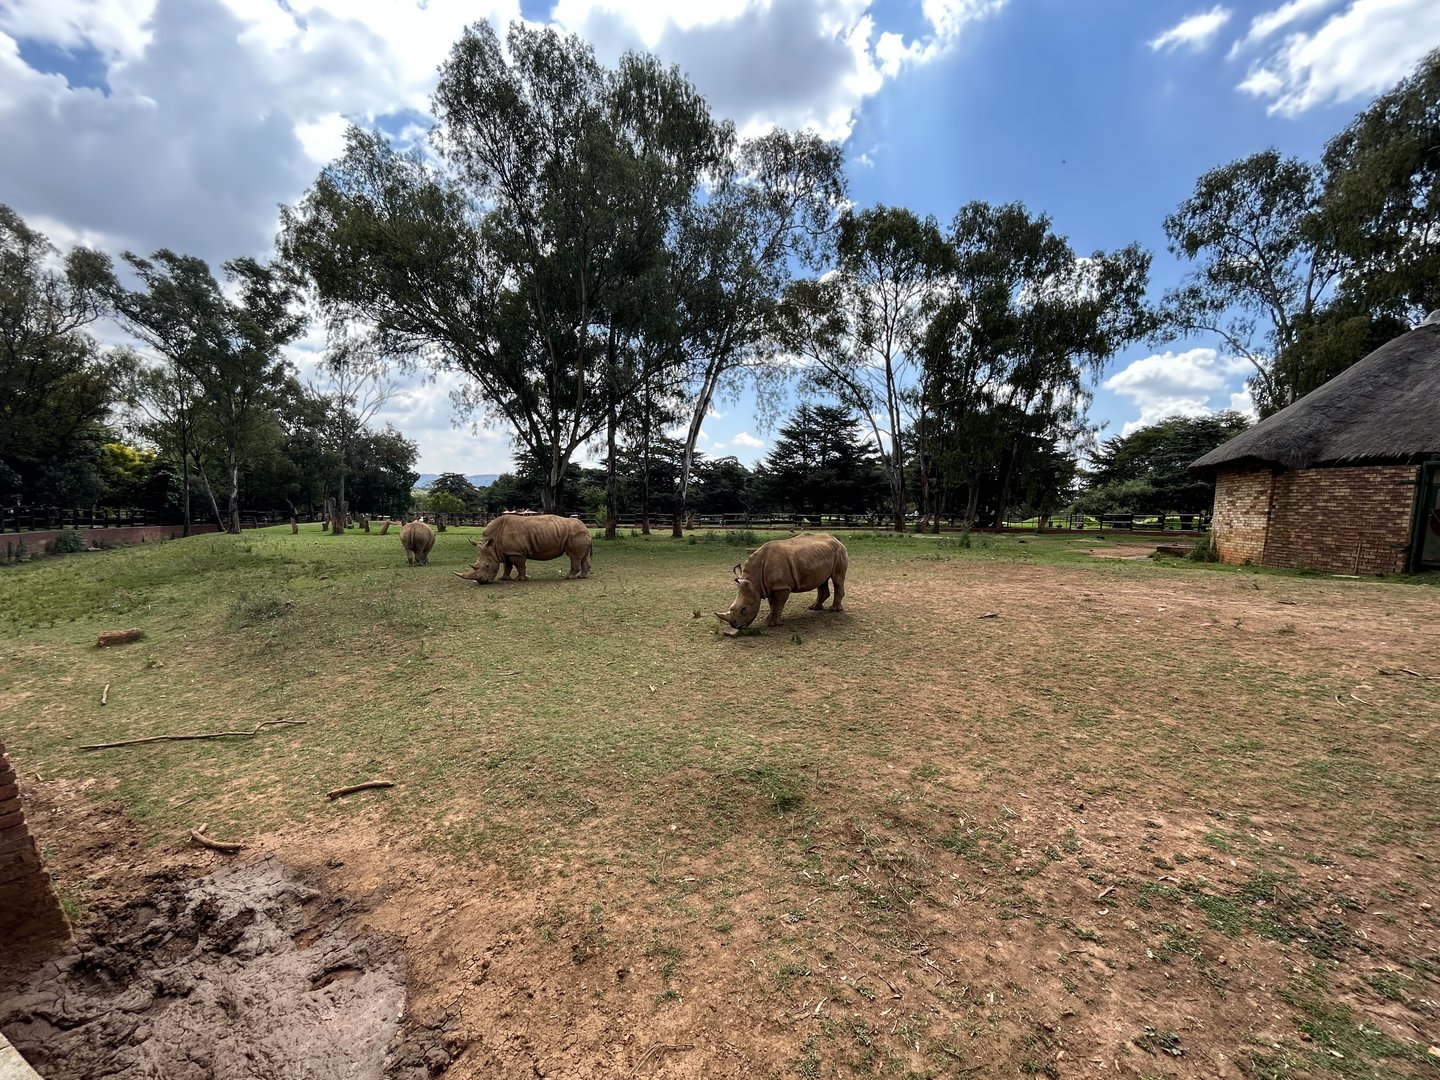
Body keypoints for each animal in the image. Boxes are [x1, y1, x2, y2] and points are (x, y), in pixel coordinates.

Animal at [454, 514, 592, 584]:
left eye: (487, 566)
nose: (482, 582)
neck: (493, 544)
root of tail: (587, 529)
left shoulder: (516, 552)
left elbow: (519, 565)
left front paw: (520, 579)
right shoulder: (507, 551)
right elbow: (507, 565)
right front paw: (504, 579)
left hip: (576, 534)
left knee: (573, 556)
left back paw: (569, 577)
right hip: (580, 533)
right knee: (583, 557)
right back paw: (582, 577)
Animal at [715, 532, 848, 634]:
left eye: (744, 609)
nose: (735, 626)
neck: (754, 581)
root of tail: (836, 539)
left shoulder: (782, 586)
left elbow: (778, 604)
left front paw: (772, 624)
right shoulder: (769, 587)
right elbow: (772, 604)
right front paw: (769, 619)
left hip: (840, 552)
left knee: (837, 578)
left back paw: (833, 610)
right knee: (822, 580)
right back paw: (814, 608)